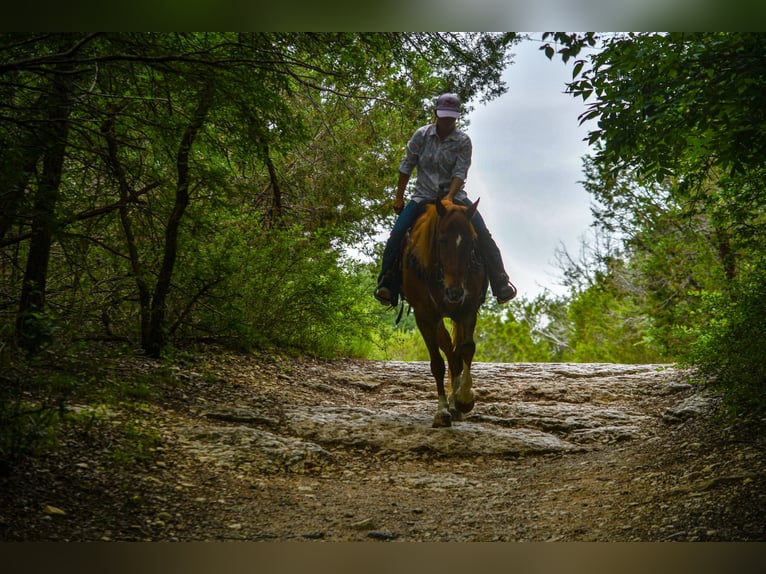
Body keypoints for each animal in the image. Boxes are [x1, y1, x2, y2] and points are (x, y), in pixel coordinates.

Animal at [401, 197, 489, 428]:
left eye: (472, 242)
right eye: (441, 240)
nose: (455, 292)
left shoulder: (468, 308)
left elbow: (467, 349)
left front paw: (464, 399)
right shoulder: (424, 316)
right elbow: (437, 364)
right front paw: (442, 412)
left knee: (455, 353)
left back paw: (456, 402)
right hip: (436, 320)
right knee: (448, 349)